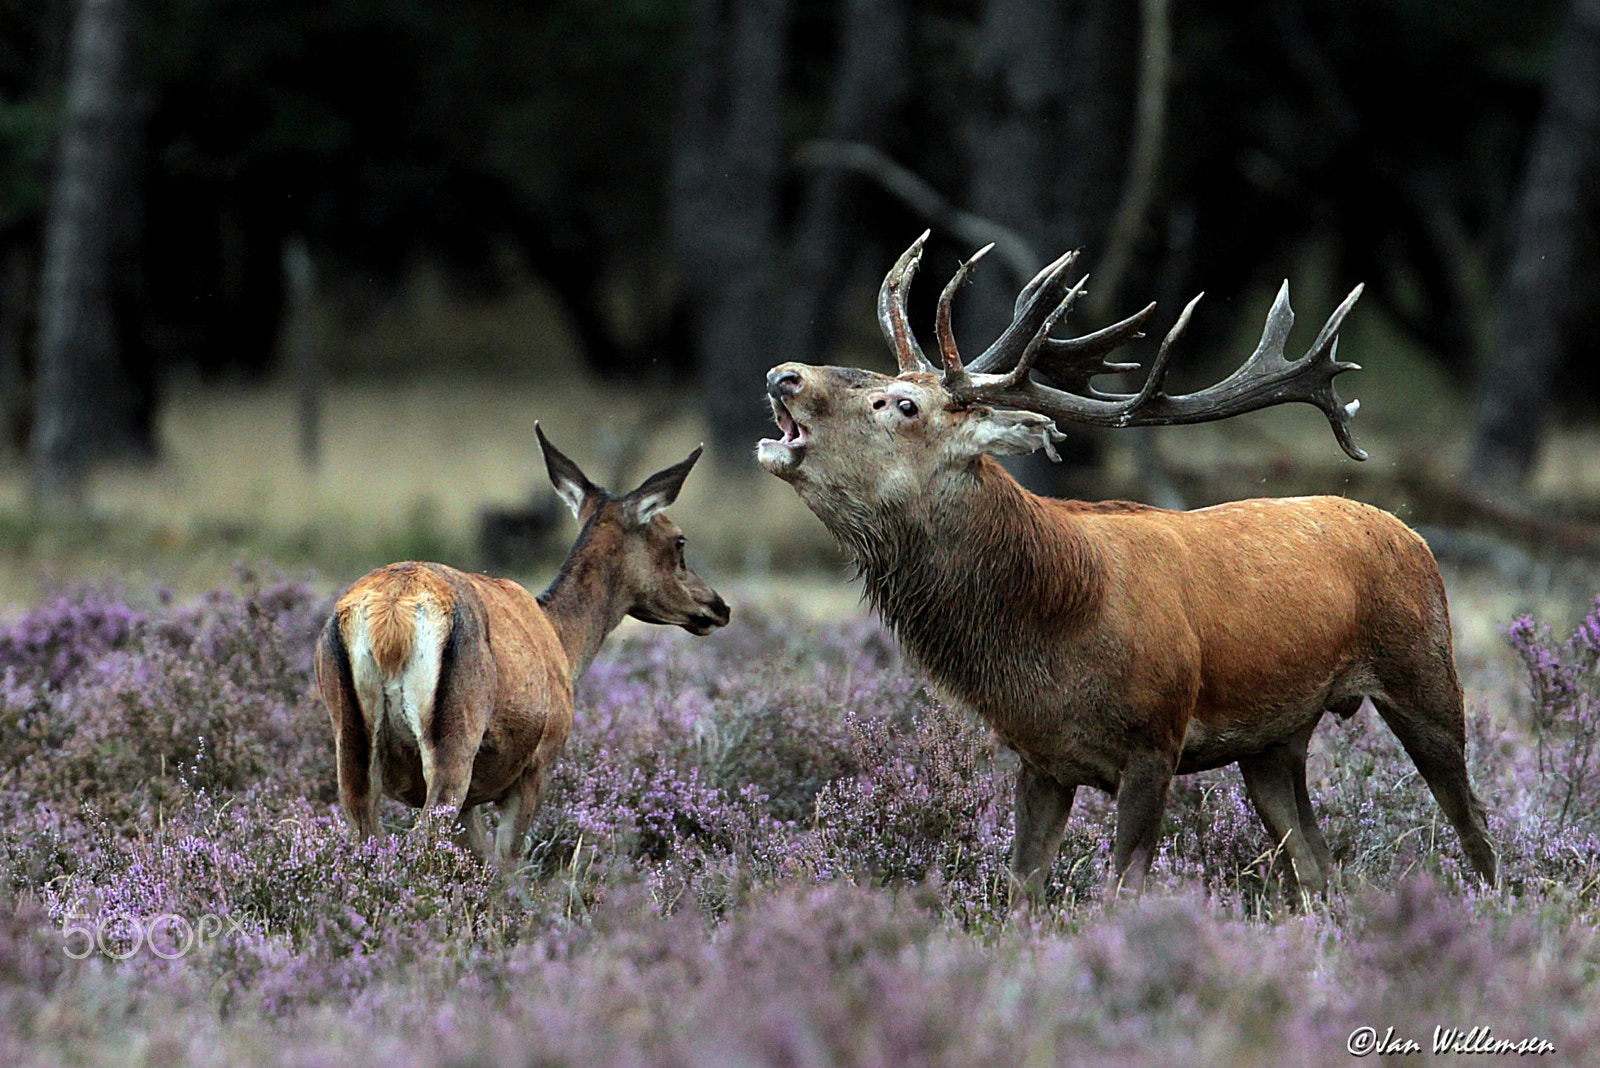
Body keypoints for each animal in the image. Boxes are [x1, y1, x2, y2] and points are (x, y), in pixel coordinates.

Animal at [315, 425, 729, 856]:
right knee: (421, 836)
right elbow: (506, 861)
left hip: (349, 737)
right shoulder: (540, 760)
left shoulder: (475, 799)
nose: (719, 606)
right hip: (455, 734)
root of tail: (391, 620)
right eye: (679, 541)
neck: (564, 642)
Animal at [755, 231, 1491, 895]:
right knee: (1318, 864)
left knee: (1475, 826)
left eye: (902, 404)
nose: (783, 374)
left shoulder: (1155, 744)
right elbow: (1022, 889)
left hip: (1424, 672)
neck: (1052, 632)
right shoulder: (1040, 759)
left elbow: (1121, 890)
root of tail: (1409, 530)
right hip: (1272, 744)